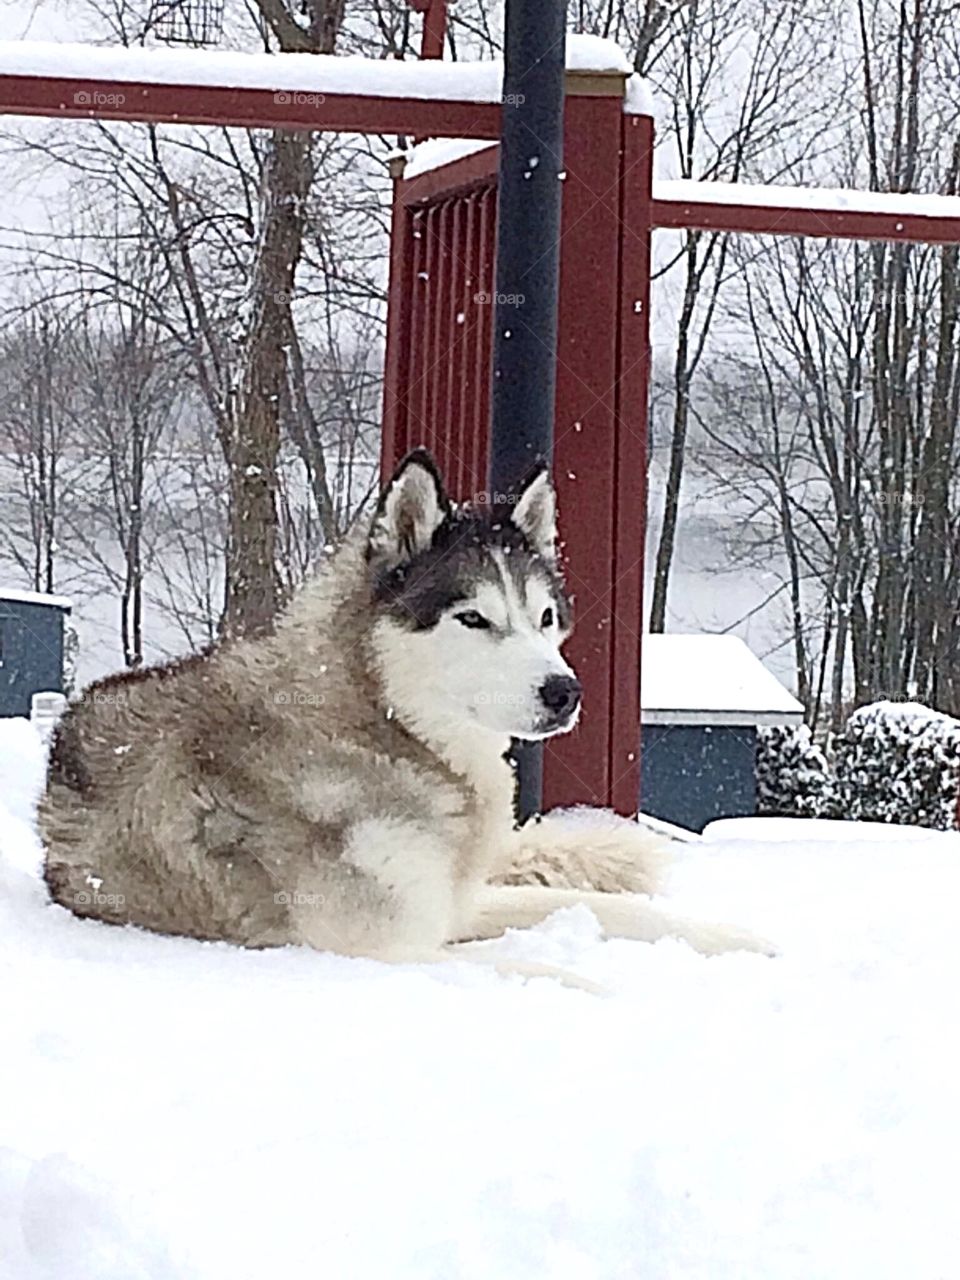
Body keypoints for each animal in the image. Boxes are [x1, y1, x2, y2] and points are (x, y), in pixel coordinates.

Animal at [41, 450, 773, 967]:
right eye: (473, 618)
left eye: (544, 618)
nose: (564, 691)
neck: (384, 730)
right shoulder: (383, 949)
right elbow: (543, 971)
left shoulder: (453, 908)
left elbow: (594, 906)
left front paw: (744, 942)